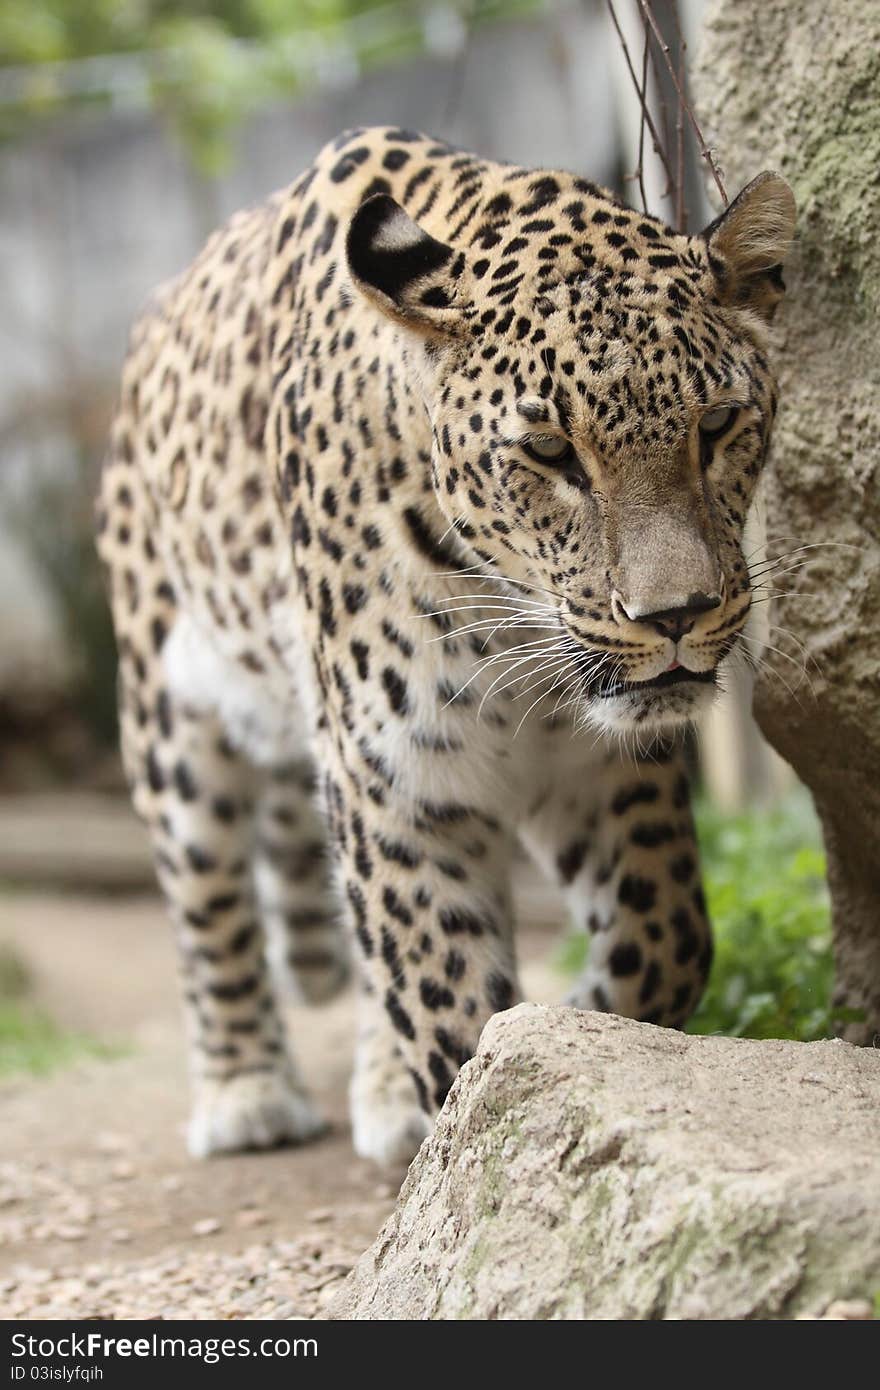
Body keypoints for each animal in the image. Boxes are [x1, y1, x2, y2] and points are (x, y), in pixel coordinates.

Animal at [95, 130, 795, 1167]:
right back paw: (245, 1091)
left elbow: (665, 937)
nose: (676, 614)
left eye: (717, 428)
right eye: (549, 453)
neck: (512, 622)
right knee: (208, 899)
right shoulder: (395, 776)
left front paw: (573, 1026)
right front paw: (482, 1112)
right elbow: (443, 994)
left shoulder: (602, 767)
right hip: (170, 710)